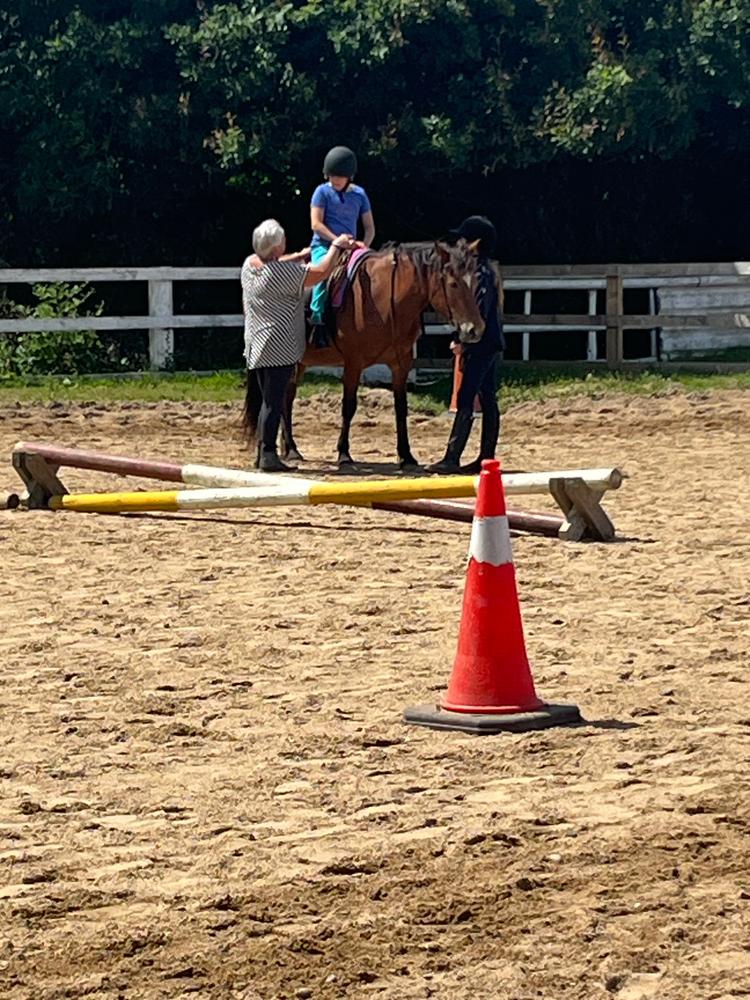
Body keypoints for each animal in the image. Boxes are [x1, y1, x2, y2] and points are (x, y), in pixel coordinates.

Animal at [276, 240, 488, 470]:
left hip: (299, 363)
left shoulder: (401, 364)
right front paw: (344, 454)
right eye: (453, 284)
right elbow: (348, 406)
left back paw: (289, 448)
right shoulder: (353, 363)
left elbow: (401, 408)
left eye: (475, 282)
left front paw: (406, 455)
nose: (475, 329)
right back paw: (291, 450)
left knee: (286, 397)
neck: (385, 300)